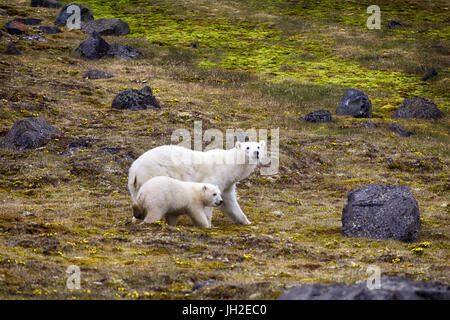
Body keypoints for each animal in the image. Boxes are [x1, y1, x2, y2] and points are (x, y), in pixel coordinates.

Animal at [127, 141, 264, 226]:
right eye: (247, 147)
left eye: (258, 146)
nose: (257, 153)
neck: (229, 165)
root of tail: (134, 170)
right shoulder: (215, 176)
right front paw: (208, 223)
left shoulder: (227, 184)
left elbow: (229, 203)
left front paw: (246, 222)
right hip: (152, 173)